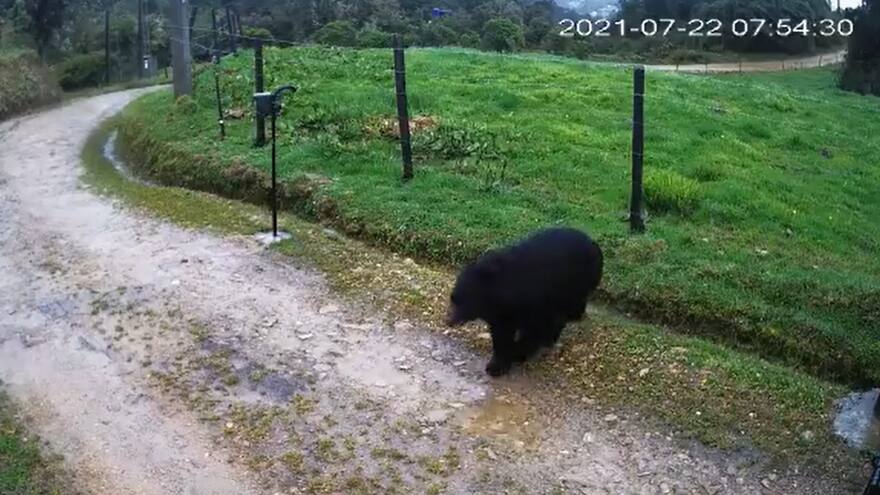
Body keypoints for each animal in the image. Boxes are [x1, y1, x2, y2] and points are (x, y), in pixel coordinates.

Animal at [445, 227, 603, 377]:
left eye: (461, 302)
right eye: (453, 300)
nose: (448, 320)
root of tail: (592, 242)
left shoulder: (535, 301)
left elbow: (535, 328)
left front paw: (516, 353)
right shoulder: (501, 314)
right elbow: (502, 334)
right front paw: (497, 364)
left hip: (577, 284)